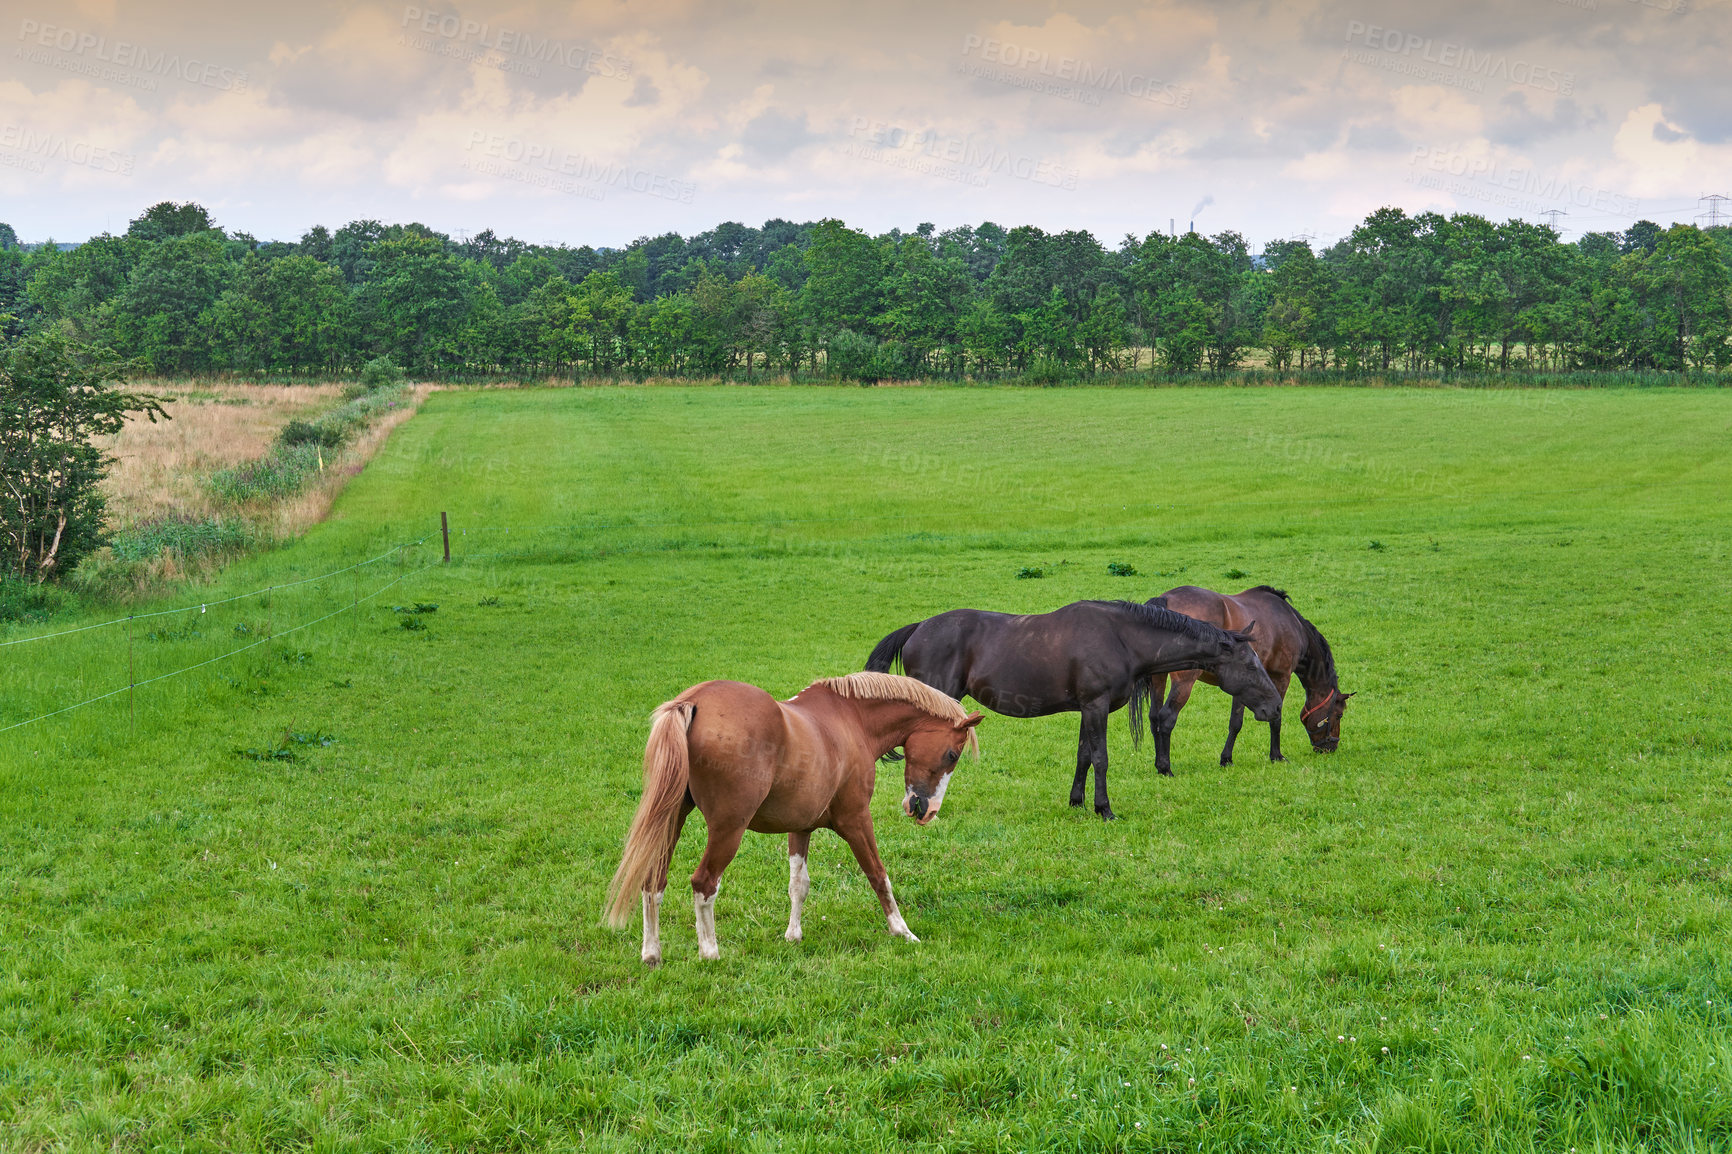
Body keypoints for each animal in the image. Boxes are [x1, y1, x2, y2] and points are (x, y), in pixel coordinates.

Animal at [602, 665, 983, 963]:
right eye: (952, 755)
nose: (926, 811)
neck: (850, 719)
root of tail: (693, 701)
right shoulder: (856, 820)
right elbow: (878, 875)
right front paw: (902, 931)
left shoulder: (800, 828)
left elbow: (798, 884)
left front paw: (793, 935)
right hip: (728, 830)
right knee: (704, 883)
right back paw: (709, 952)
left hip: (671, 820)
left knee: (653, 882)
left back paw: (652, 953)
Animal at [866, 592, 1288, 817]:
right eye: (1250, 664)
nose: (1274, 708)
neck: (1121, 638)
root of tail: (918, 629)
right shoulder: (1096, 705)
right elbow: (1101, 758)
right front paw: (1104, 809)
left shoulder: (1087, 709)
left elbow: (1084, 755)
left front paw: (1077, 801)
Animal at [1150, 585, 1350, 772]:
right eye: (1339, 714)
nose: (1330, 747)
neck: (1292, 624)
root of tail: (1166, 600)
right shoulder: (1280, 677)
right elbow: (1266, 719)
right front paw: (1274, 756)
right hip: (1184, 682)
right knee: (1166, 717)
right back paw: (1165, 767)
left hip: (1158, 677)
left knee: (1153, 717)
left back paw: (1158, 764)